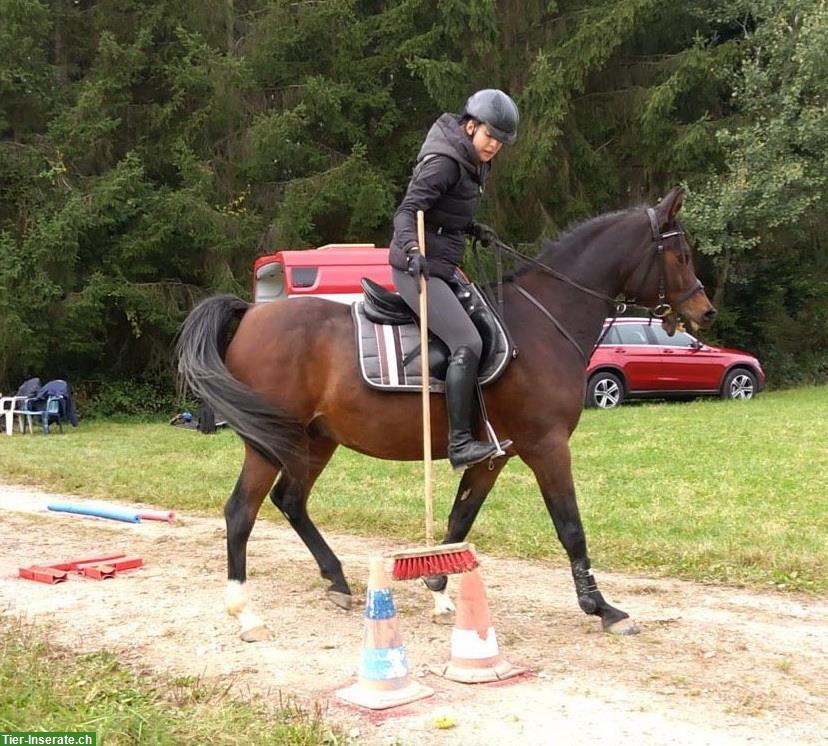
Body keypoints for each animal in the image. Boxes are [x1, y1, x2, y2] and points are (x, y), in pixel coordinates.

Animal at [176, 186, 720, 640]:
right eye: (681, 254)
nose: (706, 311)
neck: (543, 322)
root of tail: (252, 313)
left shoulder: (493, 455)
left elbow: (461, 519)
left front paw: (437, 585)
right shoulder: (546, 446)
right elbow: (570, 527)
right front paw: (602, 608)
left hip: (314, 439)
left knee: (290, 500)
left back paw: (337, 580)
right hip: (269, 442)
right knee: (241, 511)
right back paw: (245, 612)